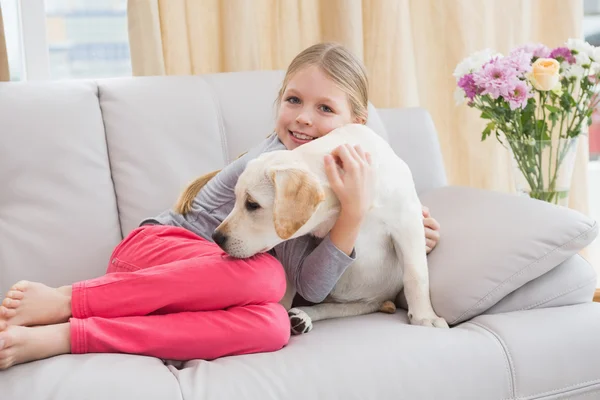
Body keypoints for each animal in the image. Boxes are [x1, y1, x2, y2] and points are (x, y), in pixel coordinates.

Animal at [211, 123, 446, 332]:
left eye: (252, 204)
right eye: (235, 199)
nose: (216, 237)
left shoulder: (408, 221)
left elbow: (416, 274)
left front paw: (425, 317)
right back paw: (299, 318)